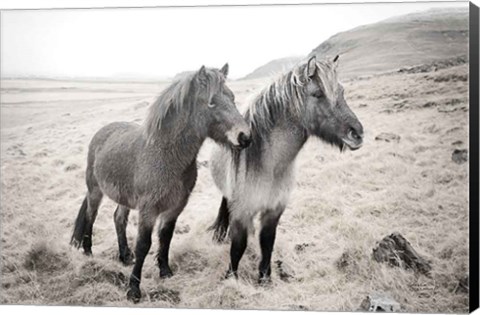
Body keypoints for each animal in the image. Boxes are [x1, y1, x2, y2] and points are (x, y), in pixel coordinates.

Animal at [71, 64, 253, 304]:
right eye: (211, 102)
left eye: (232, 97)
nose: (245, 137)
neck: (167, 156)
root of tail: (102, 132)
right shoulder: (148, 210)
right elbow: (144, 245)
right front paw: (133, 290)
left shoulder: (175, 208)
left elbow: (165, 238)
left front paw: (165, 271)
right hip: (95, 191)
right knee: (91, 216)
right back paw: (88, 252)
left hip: (125, 197)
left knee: (118, 218)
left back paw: (124, 256)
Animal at [208, 55, 362, 286]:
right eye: (318, 93)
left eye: (342, 91)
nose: (357, 134)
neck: (270, 166)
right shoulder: (242, 212)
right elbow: (237, 247)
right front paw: (231, 278)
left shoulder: (274, 210)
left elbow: (267, 243)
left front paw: (265, 278)